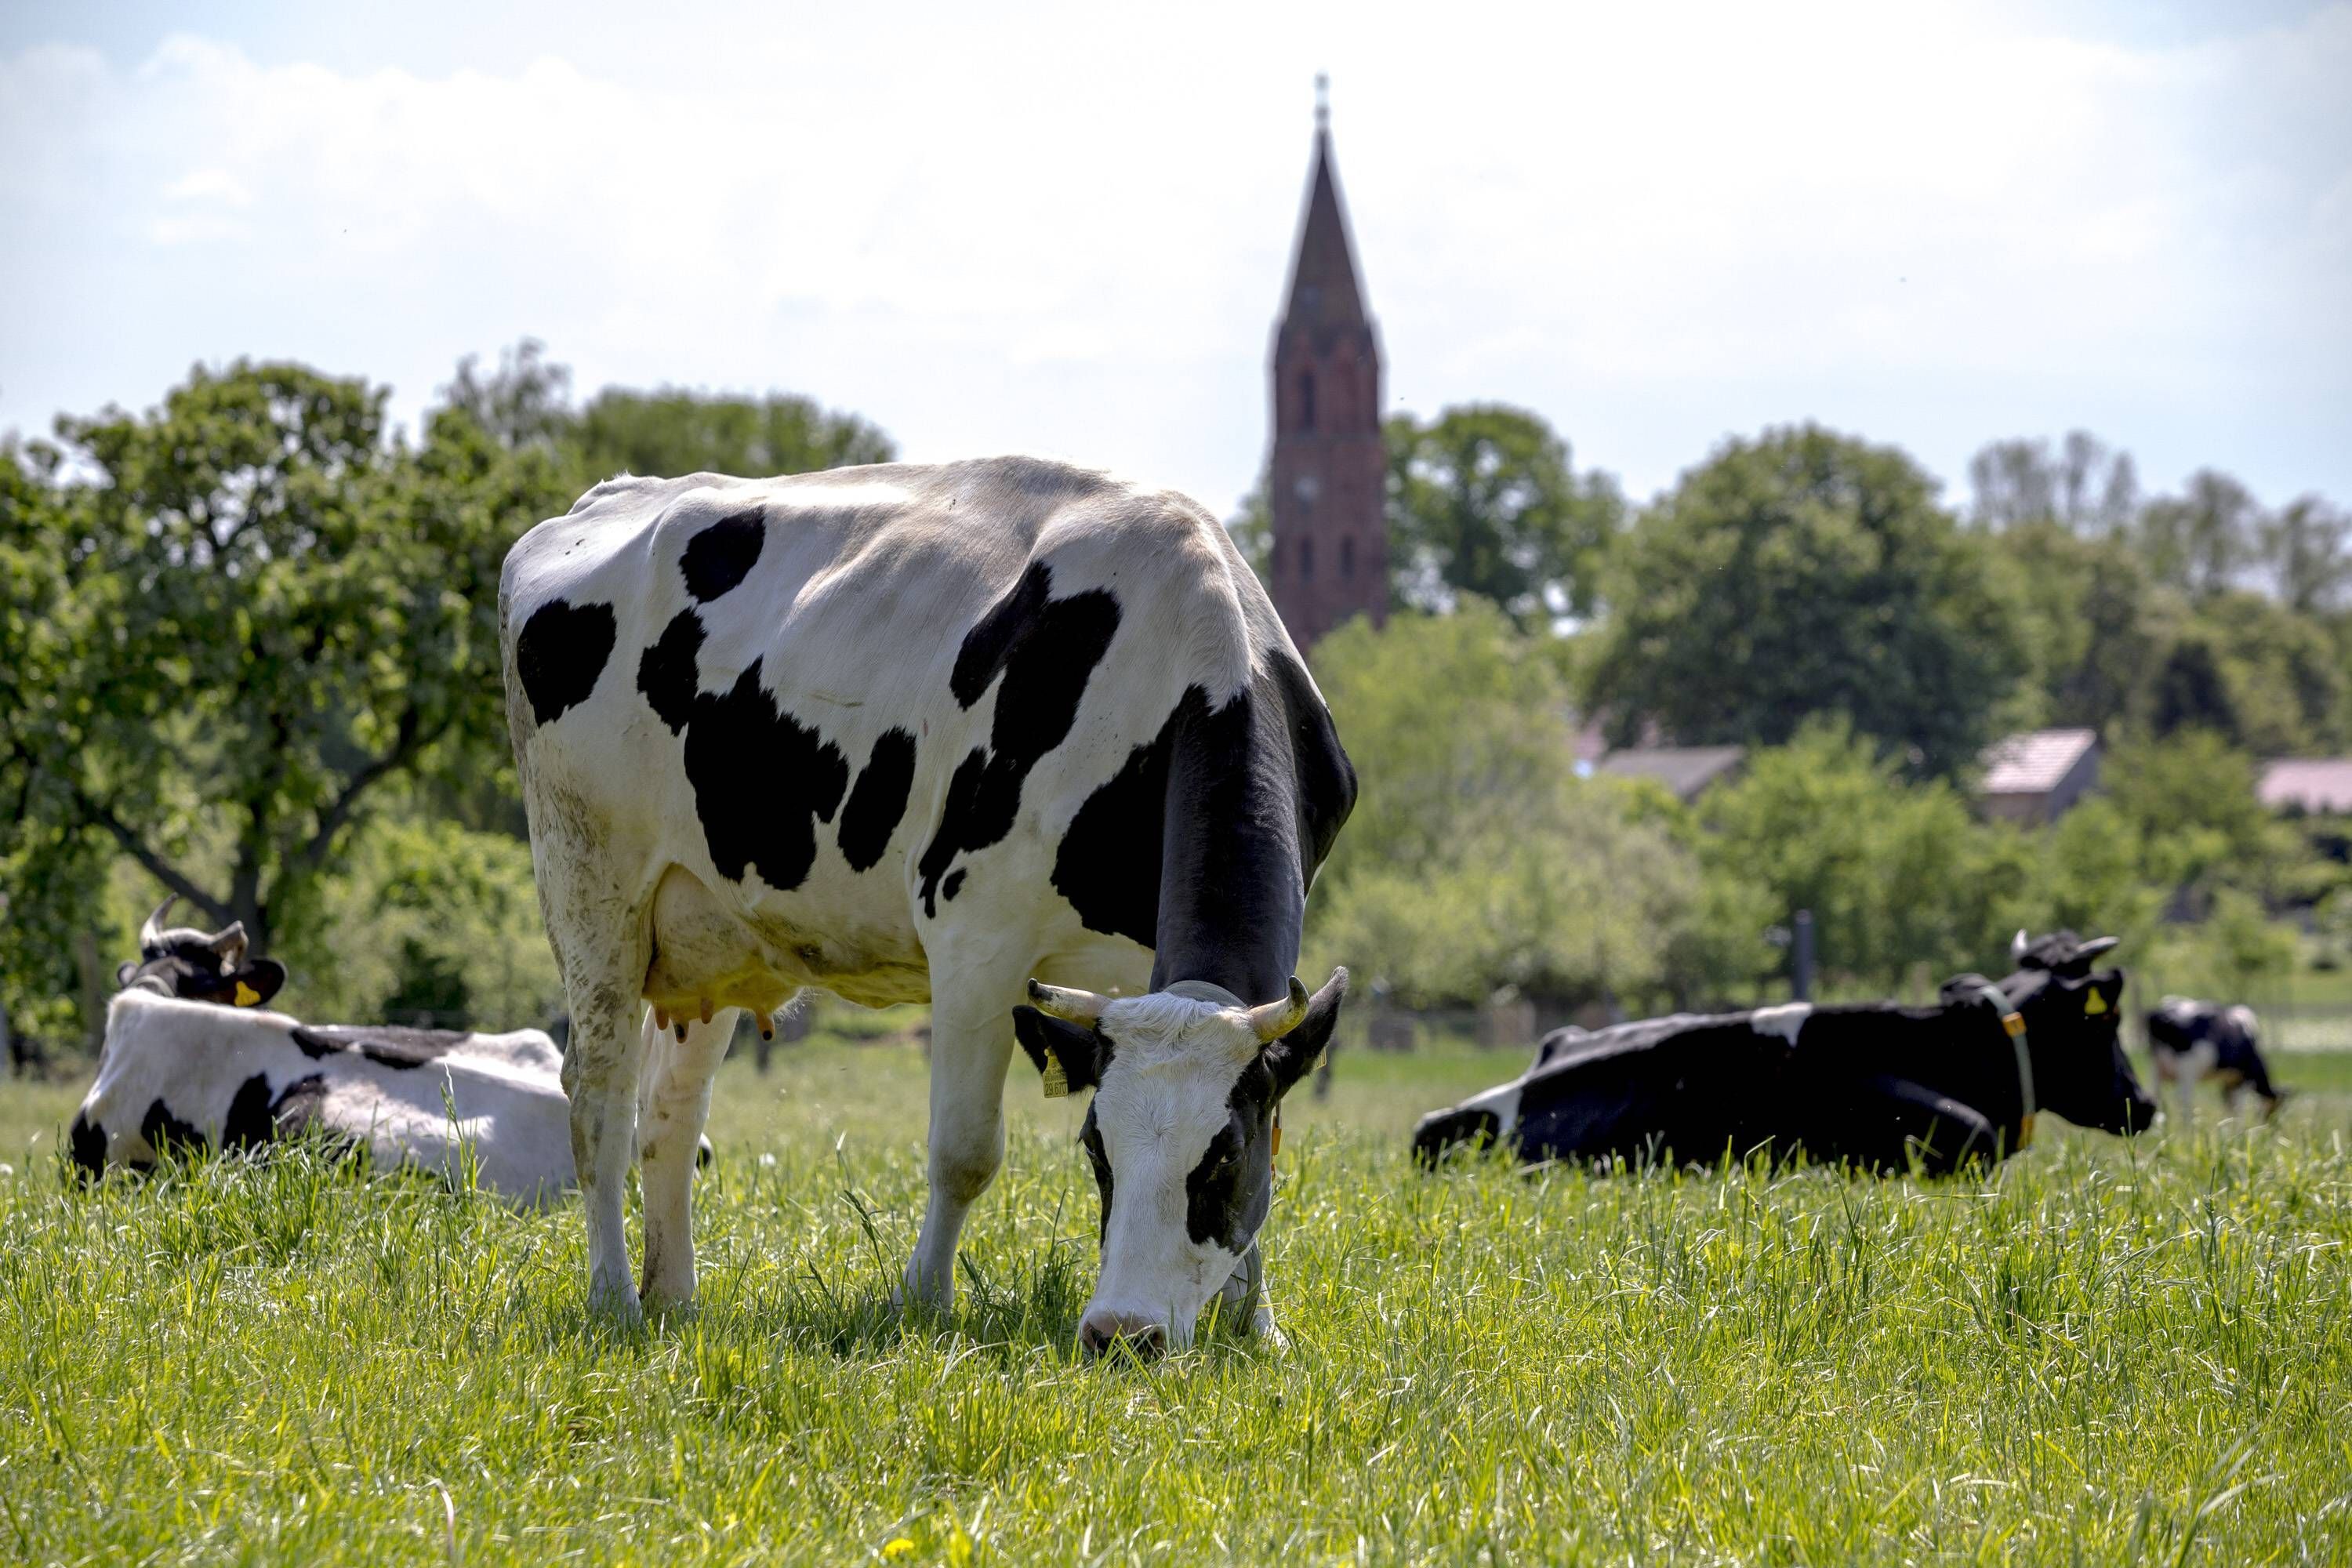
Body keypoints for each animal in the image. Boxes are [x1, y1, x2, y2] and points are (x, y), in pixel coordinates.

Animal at [499, 457, 1355, 1353]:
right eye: (1096, 1148)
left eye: (1223, 1155)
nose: (1123, 1333)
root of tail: (606, 496)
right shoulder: (977, 935)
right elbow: (964, 1150)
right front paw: (922, 1304)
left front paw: (1257, 1327)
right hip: (591, 886)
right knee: (599, 1100)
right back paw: (615, 1300)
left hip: (710, 932)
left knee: (670, 1110)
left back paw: (675, 1301)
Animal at [2144, 998, 2283, 1121]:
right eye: (2277, 1107)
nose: (2273, 1126)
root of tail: (2163, 1013)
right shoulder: (2243, 1080)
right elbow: (2240, 1109)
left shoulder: (2229, 1082)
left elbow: (2230, 1108)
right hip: (2187, 1069)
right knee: (2184, 1100)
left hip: (2156, 1067)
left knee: (2156, 1097)